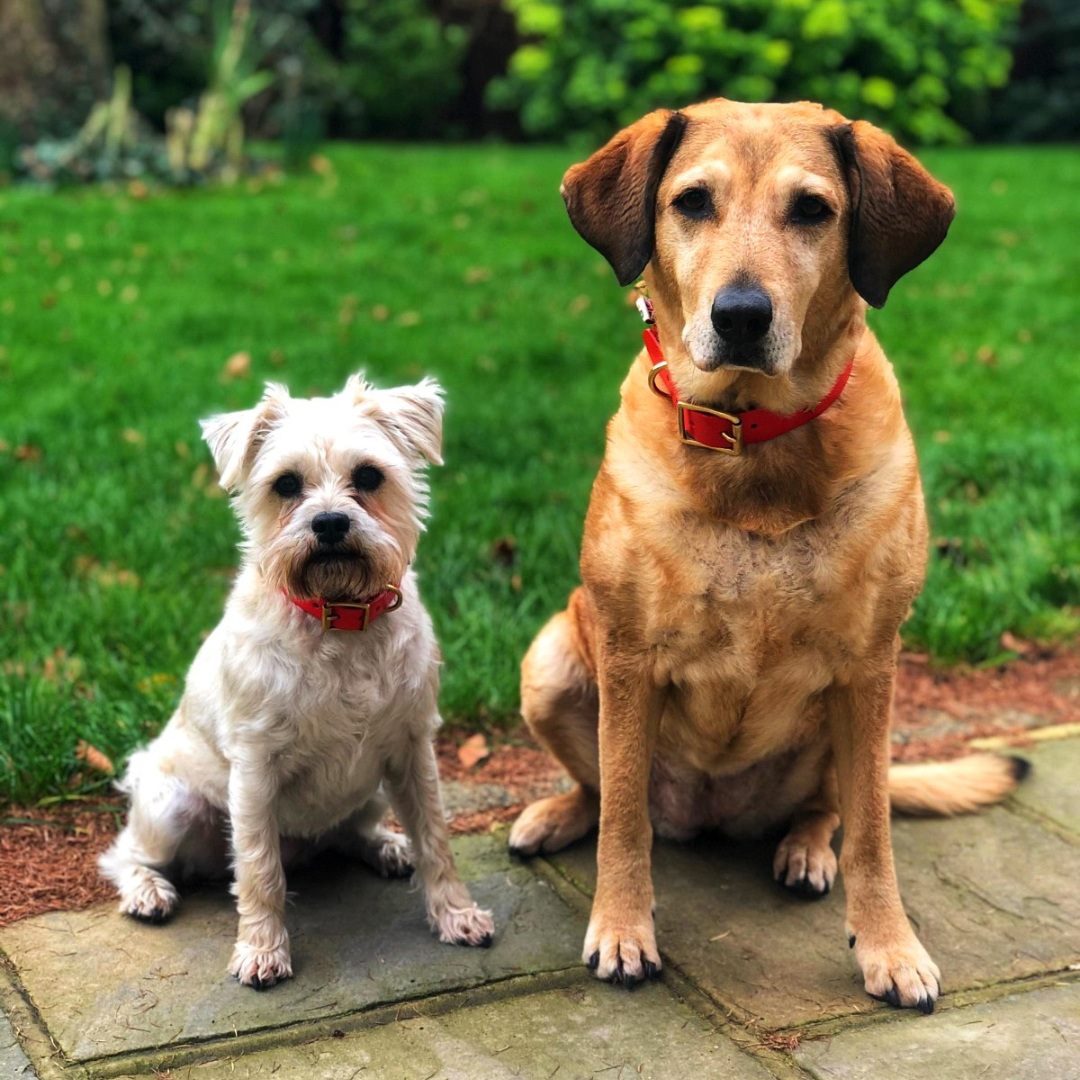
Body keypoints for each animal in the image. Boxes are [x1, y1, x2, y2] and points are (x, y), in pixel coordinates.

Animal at [99, 371, 494, 989]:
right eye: (286, 484)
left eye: (369, 476)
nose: (329, 523)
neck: (339, 617)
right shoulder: (255, 770)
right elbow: (260, 869)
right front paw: (262, 950)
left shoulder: (412, 748)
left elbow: (435, 838)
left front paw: (455, 915)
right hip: (172, 807)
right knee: (124, 855)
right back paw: (148, 892)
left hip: (371, 791)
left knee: (351, 832)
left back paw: (387, 846)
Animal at [509, 99, 1023, 1010]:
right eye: (692, 201)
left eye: (813, 210)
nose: (741, 315)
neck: (752, 438)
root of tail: (708, 815)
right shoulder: (629, 660)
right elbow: (624, 823)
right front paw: (622, 927)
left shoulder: (870, 666)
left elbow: (874, 834)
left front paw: (889, 947)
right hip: (553, 659)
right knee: (604, 794)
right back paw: (557, 814)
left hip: (841, 727)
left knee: (833, 809)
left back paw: (805, 849)